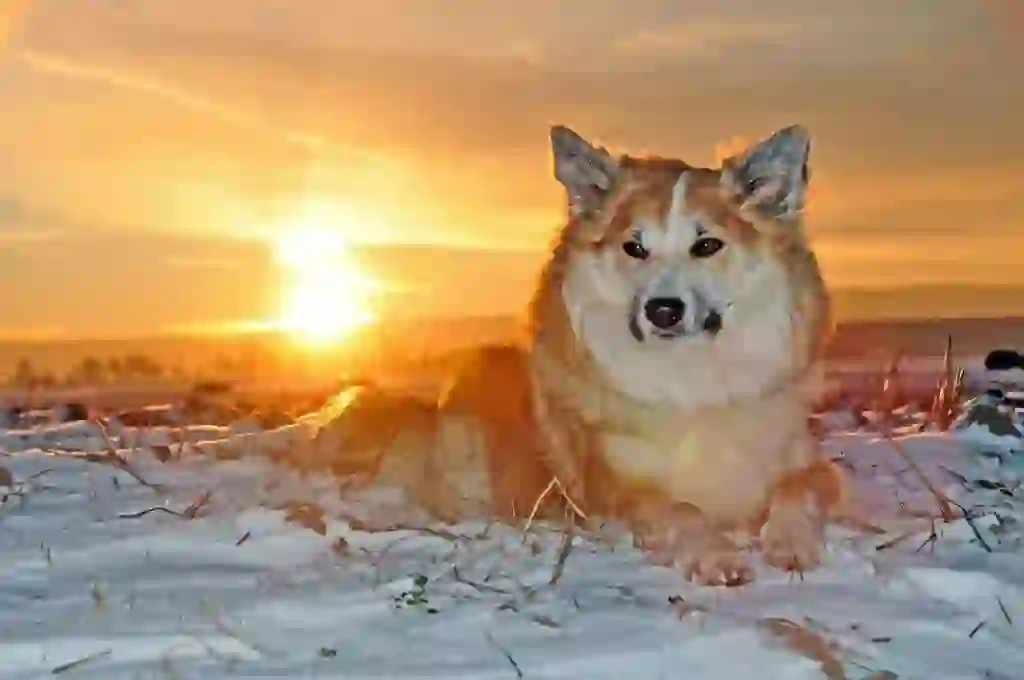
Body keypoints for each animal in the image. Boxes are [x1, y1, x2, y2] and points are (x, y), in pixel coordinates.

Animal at [307, 123, 843, 585]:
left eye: (707, 245)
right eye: (634, 248)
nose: (662, 310)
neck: (690, 383)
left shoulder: (810, 464)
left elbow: (799, 490)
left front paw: (790, 541)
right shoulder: (617, 488)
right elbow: (680, 511)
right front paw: (715, 554)